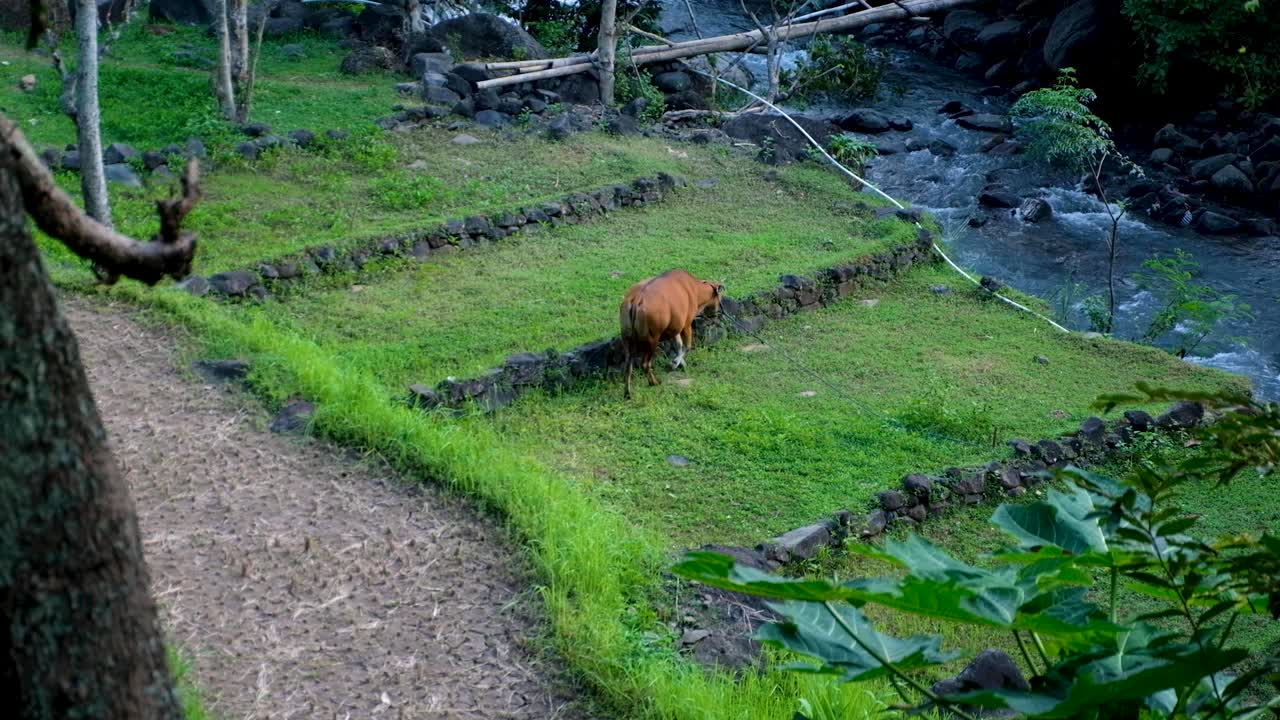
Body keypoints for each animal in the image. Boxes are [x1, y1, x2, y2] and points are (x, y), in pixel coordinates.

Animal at [619, 269, 723, 400]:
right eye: (720, 298)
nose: (716, 313)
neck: (694, 288)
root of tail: (636, 300)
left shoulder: (674, 329)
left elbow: (679, 345)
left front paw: (680, 363)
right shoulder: (686, 325)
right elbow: (687, 347)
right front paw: (674, 364)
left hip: (626, 338)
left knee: (628, 365)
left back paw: (627, 393)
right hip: (652, 340)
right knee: (645, 364)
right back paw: (654, 382)